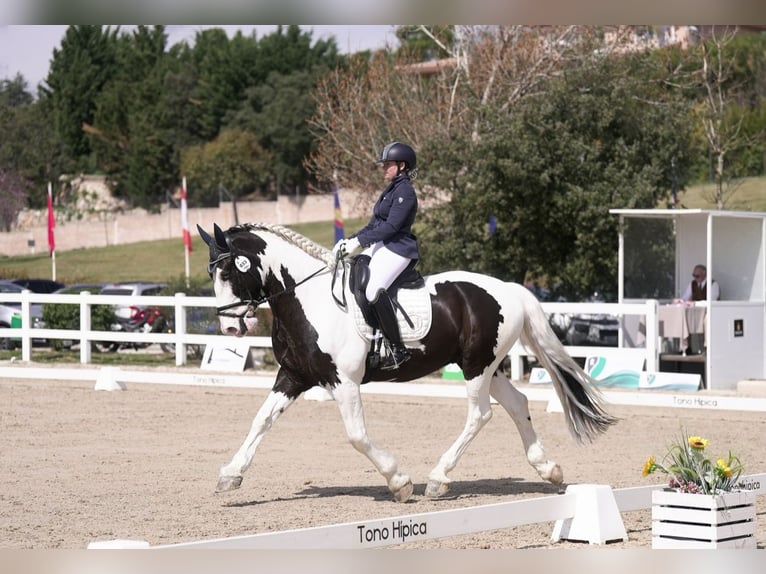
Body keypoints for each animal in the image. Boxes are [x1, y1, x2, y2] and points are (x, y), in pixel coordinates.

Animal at [198, 223, 616, 502]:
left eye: (231, 269)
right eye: (211, 272)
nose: (232, 327)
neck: (308, 299)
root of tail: (510, 289)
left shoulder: (343, 381)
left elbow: (357, 435)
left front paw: (398, 481)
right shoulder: (293, 375)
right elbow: (261, 420)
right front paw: (230, 474)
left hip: (477, 366)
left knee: (480, 415)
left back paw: (438, 479)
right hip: (490, 365)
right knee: (517, 404)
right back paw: (548, 469)